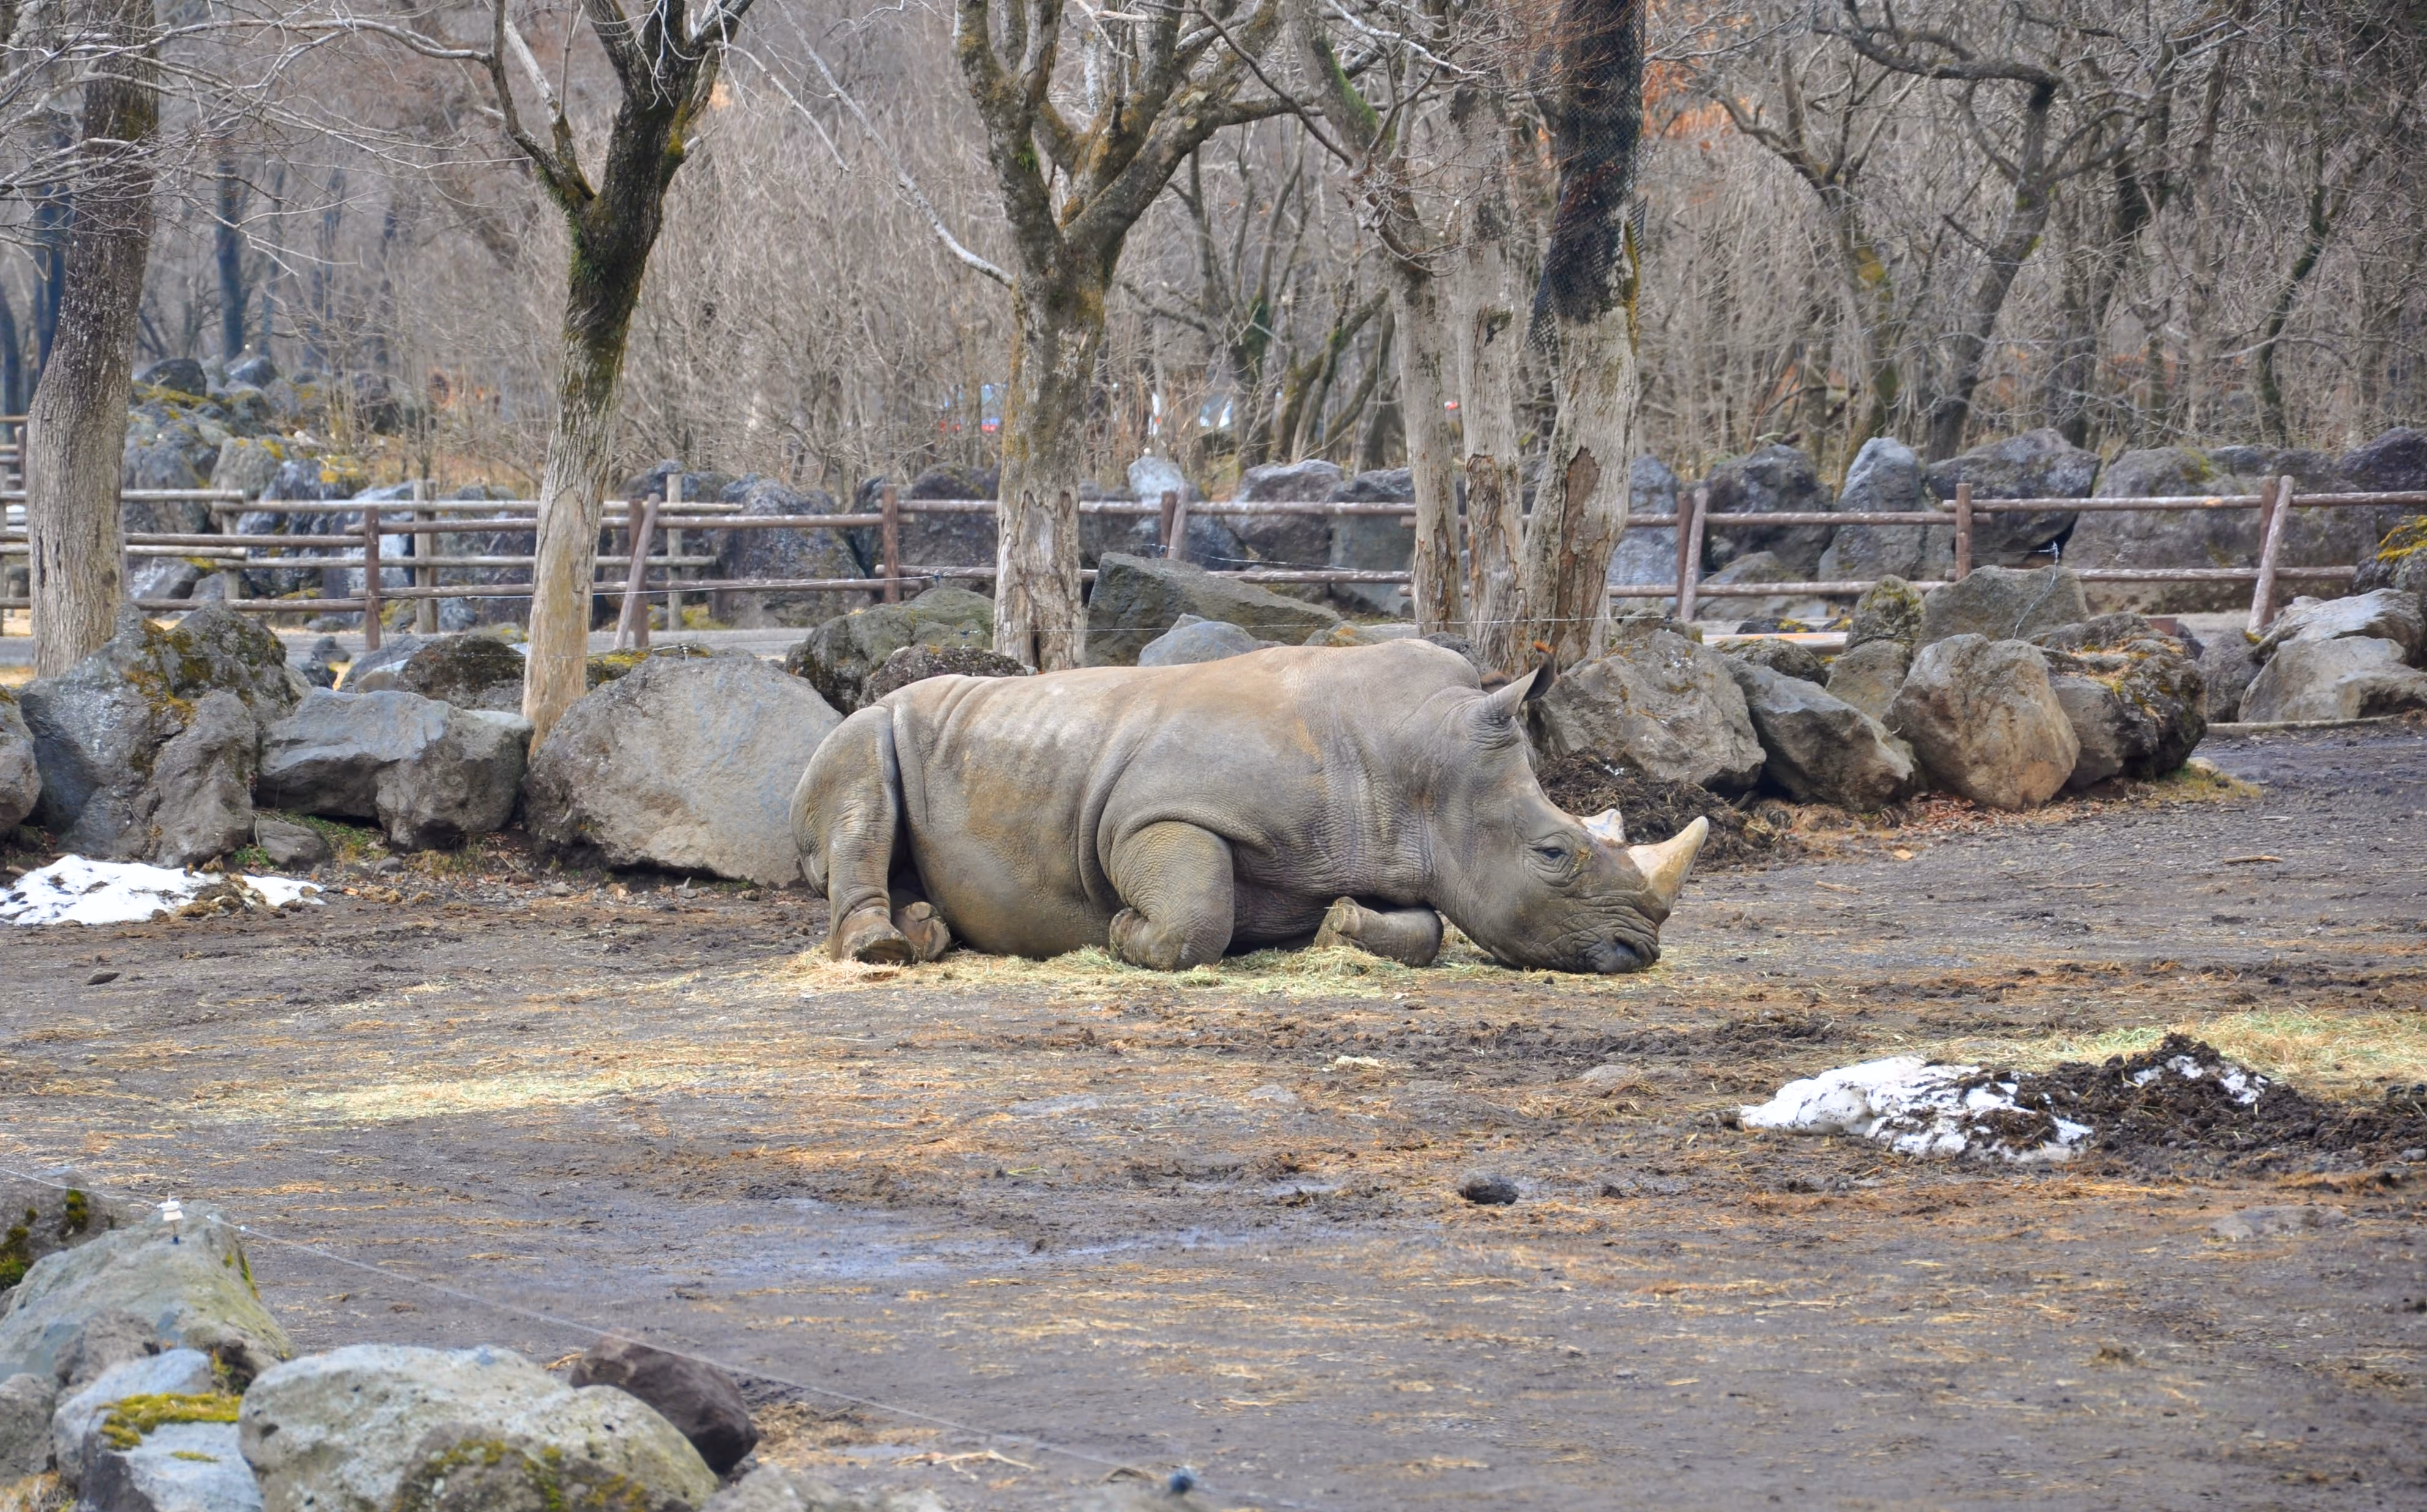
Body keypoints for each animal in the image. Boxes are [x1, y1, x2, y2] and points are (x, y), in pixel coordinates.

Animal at [791, 640, 1707, 972]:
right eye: (1553, 854)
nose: (1638, 950)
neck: (1419, 762)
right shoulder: (1157, 812)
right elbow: (1198, 912)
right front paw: (1120, 932)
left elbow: (1426, 925)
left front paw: (1339, 926)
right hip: (868, 724)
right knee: (862, 787)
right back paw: (882, 950)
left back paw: (925, 933)